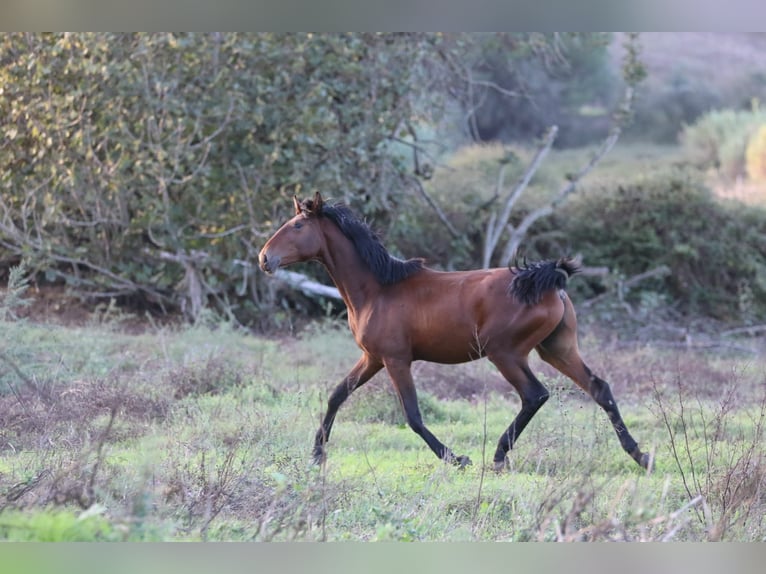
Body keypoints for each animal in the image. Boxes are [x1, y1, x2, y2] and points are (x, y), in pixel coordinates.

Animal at [260, 194, 652, 472]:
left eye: (297, 226)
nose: (265, 258)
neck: (378, 289)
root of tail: (549, 281)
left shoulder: (396, 359)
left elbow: (413, 416)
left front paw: (456, 458)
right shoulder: (372, 357)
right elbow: (337, 395)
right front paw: (316, 455)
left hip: (506, 353)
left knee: (534, 395)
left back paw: (499, 456)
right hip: (556, 348)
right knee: (599, 388)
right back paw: (640, 454)